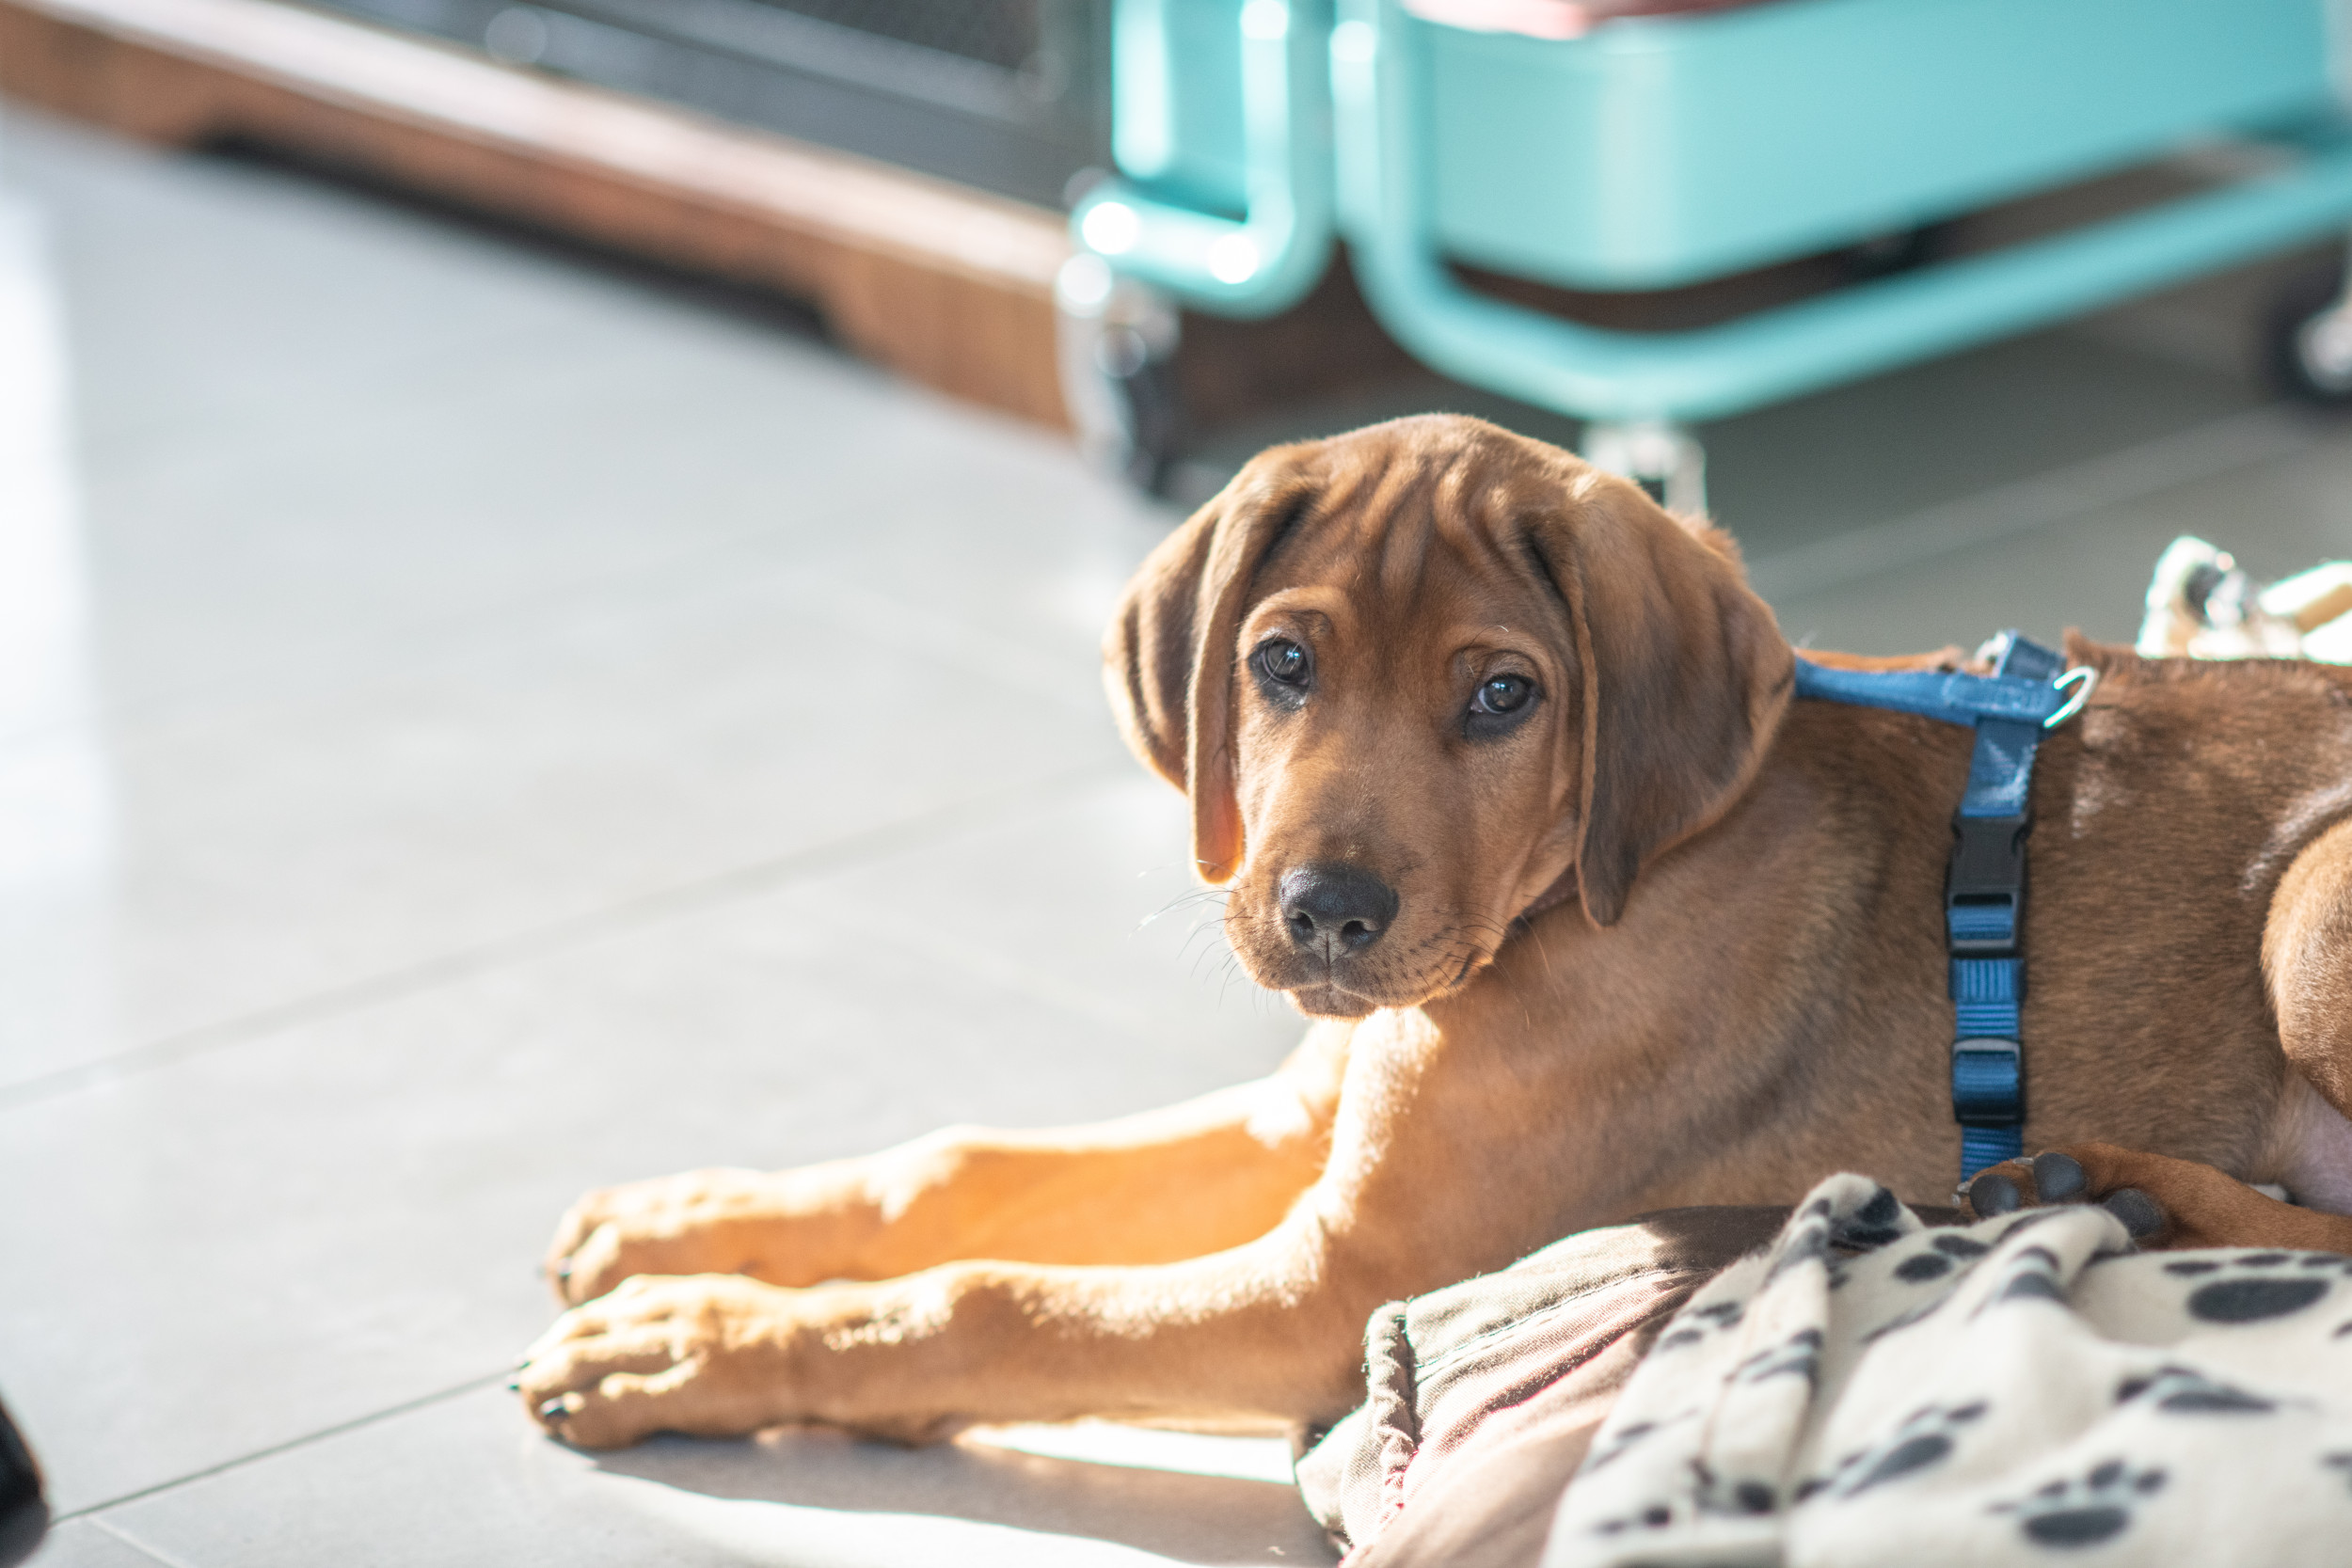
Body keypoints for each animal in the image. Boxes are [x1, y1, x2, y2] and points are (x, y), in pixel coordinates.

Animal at [524, 413, 2352, 1448]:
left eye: (1502, 695)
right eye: (1281, 663)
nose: (1324, 915)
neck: (1560, 903)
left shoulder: (1340, 1280)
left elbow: (994, 1301)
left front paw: (692, 1344)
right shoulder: (1308, 1125)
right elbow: (956, 1168)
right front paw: (689, 1225)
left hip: (2311, 911)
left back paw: (2127, 1193)